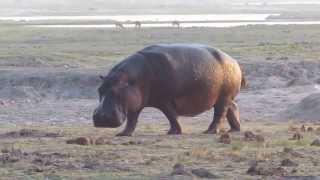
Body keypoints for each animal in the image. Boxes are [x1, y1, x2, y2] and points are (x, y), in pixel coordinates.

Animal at [91, 44, 246, 136]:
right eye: (99, 90)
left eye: (115, 91)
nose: (100, 117)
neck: (131, 80)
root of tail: (234, 61)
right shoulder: (135, 104)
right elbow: (132, 120)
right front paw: (123, 134)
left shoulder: (164, 100)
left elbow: (171, 115)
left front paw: (174, 132)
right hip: (226, 98)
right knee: (232, 108)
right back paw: (234, 129)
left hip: (223, 98)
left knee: (219, 114)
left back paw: (209, 131)